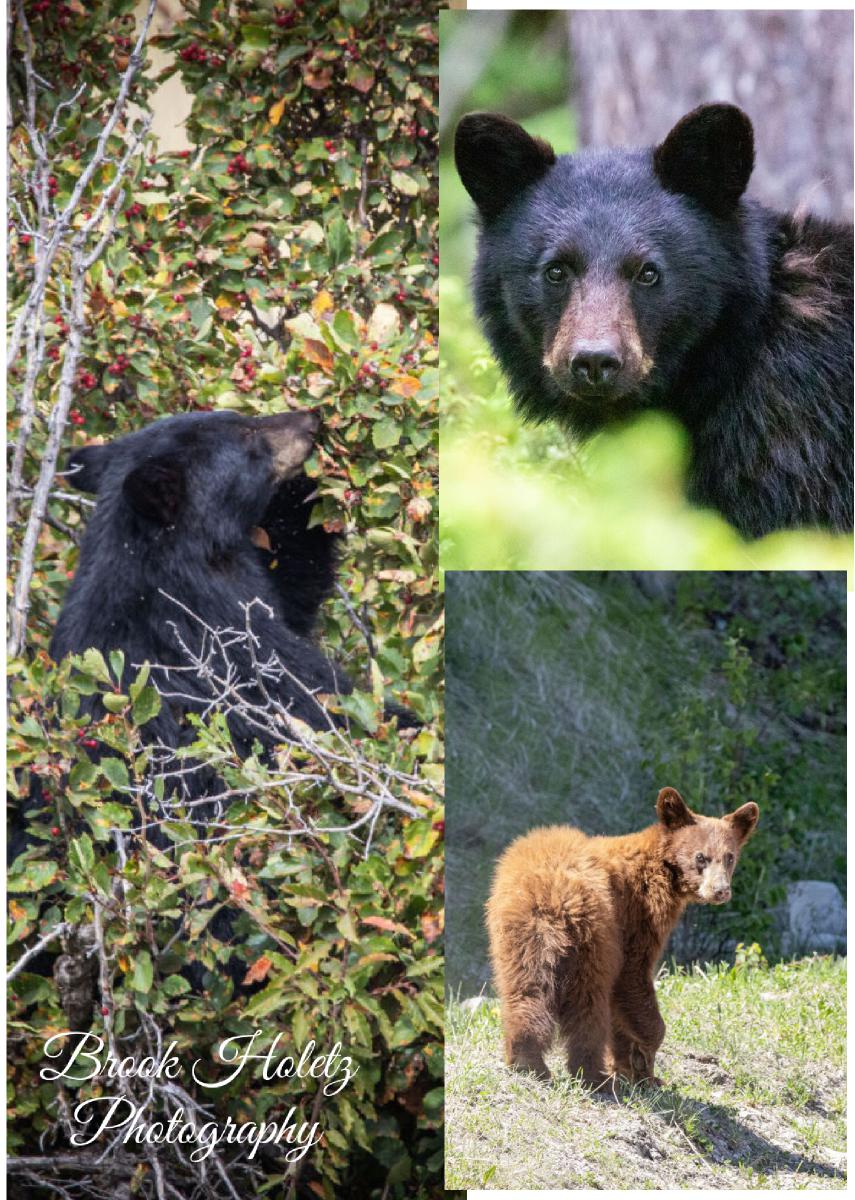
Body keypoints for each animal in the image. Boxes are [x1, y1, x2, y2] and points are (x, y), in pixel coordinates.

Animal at [485, 787, 759, 1088]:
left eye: (729, 856)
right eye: (701, 857)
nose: (721, 890)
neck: (660, 868)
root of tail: (553, 894)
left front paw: (632, 1066)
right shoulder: (637, 917)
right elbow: (633, 978)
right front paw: (644, 1066)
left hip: (520, 938)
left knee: (526, 990)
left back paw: (527, 1061)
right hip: (594, 938)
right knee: (589, 1002)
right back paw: (592, 1074)